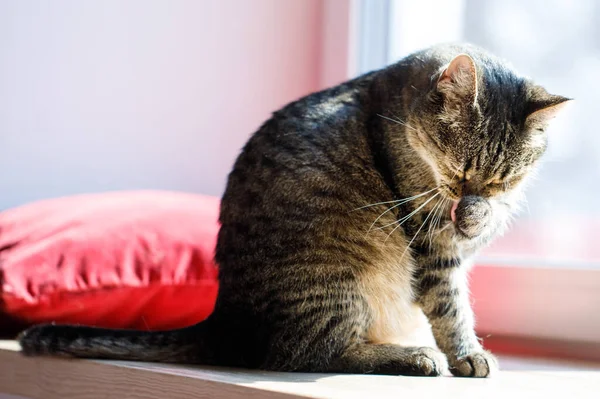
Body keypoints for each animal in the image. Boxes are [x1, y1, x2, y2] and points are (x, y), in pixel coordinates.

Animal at [19, 43, 572, 378]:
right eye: (459, 169)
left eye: (503, 177)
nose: (470, 198)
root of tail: (224, 319)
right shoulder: (435, 244)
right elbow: (452, 304)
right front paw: (467, 354)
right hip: (340, 278)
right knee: (311, 353)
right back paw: (414, 356)